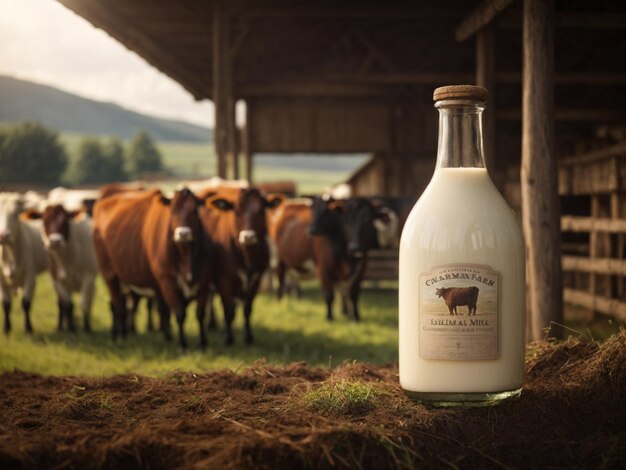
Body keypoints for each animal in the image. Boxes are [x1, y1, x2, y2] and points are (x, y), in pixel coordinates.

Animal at [0, 192, 48, 334]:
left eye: (16, 214)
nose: (3, 235)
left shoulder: (30, 276)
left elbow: (26, 303)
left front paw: (28, 328)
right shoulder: (1, 281)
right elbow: (6, 303)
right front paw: (6, 328)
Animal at [92, 188, 210, 348]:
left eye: (195, 211)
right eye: (172, 211)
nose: (183, 234)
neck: (185, 255)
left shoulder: (203, 281)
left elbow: (200, 313)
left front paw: (202, 342)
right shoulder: (167, 281)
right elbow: (179, 313)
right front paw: (182, 344)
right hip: (109, 275)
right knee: (118, 306)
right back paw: (119, 336)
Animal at [200, 187, 280, 346]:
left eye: (261, 211)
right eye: (236, 211)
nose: (248, 237)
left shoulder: (256, 278)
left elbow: (247, 309)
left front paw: (248, 337)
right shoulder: (223, 279)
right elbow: (228, 310)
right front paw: (229, 338)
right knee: (210, 300)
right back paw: (210, 324)